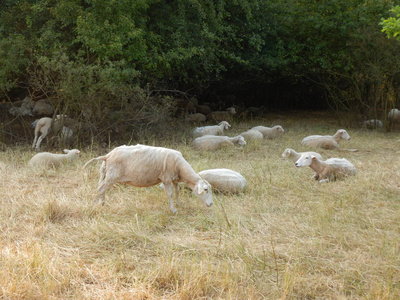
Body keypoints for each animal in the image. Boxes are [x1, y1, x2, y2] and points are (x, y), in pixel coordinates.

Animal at [83, 144, 214, 212]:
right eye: (206, 190)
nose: (211, 204)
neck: (180, 168)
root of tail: (107, 155)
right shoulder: (166, 178)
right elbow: (170, 194)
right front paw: (173, 209)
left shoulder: (174, 179)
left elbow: (177, 192)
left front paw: (179, 204)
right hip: (112, 176)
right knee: (100, 189)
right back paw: (93, 206)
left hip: (106, 174)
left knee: (102, 190)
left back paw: (102, 204)